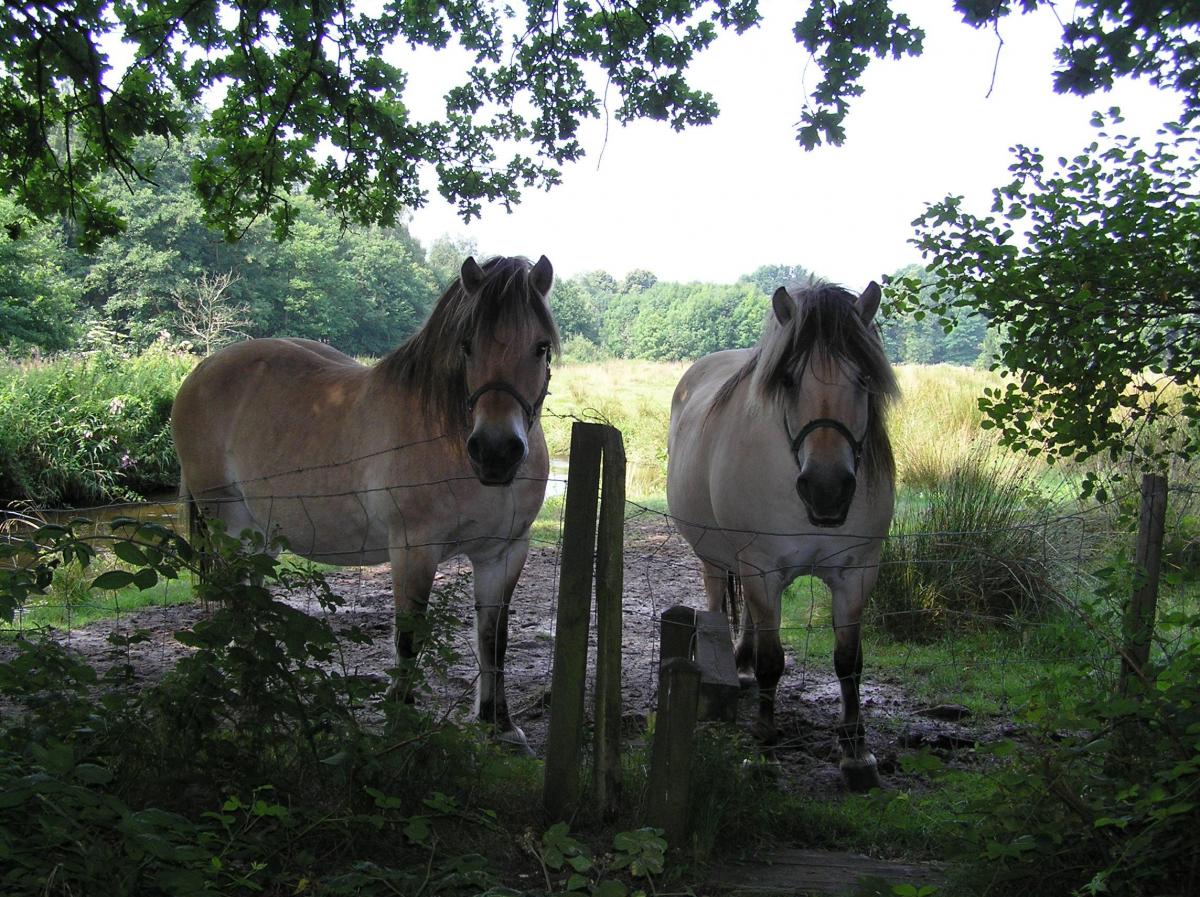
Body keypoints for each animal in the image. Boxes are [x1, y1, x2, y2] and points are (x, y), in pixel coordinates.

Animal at [171, 254, 559, 748]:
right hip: (230, 528)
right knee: (237, 600)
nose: (495, 452)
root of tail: (200, 373)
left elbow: (494, 639)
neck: (445, 435)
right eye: (467, 345)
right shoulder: (413, 551)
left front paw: (499, 726)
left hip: (261, 537)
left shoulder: (504, 553)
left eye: (541, 347)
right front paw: (401, 723)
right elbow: (409, 640)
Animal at [672, 281, 897, 791]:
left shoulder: (857, 573)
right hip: (716, 558)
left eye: (864, 379)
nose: (827, 488)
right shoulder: (761, 568)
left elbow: (849, 660)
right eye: (790, 380)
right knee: (718, 602)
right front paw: (764, 752)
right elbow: (773, 662)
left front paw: (856, 752)